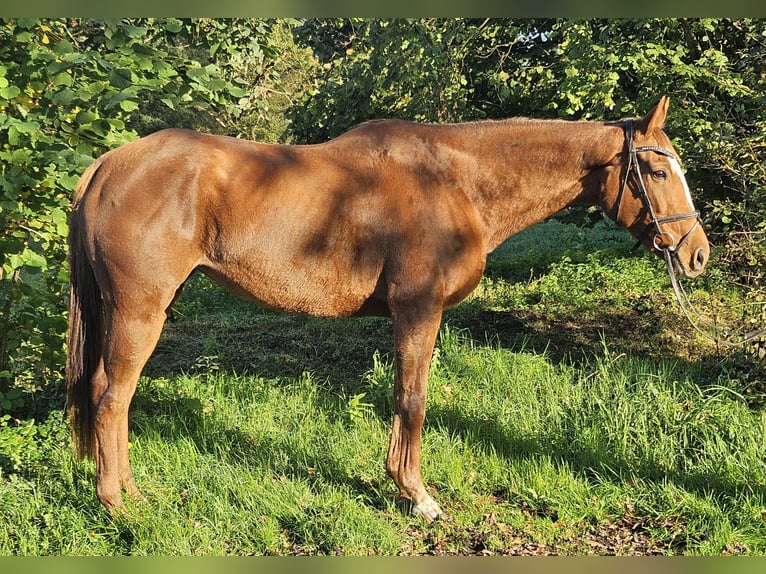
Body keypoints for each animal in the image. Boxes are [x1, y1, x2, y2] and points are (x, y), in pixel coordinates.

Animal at [69, 95, 712, 520]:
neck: (455, 181)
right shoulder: (418, 311)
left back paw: (122, 491)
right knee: (111, 398)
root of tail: (106, 167)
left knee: (104, 392)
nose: (698, 253)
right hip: (140, 311)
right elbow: (412, 400)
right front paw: (416, 495)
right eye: (657, 169)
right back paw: (119, 504)